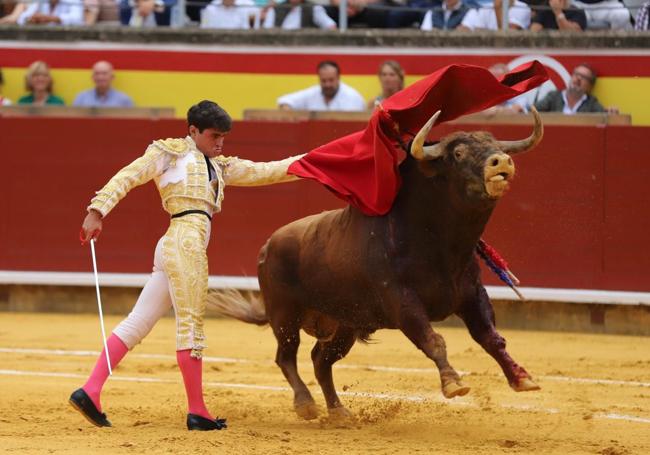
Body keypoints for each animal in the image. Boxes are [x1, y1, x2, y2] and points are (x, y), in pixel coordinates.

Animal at [211, 108, 540, 422]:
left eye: (497, 146)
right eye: (458, 154)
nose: (501, 161)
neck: (441, 245)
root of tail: (268, 244)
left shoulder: (472, 295)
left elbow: (492, 338)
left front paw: (522, 377)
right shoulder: (402, 301)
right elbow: (433, 339)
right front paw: (453, 383)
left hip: (345, 323)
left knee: (321, 359)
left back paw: (338, 411)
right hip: (285, 314)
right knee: (286, 356)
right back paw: (306, 405)